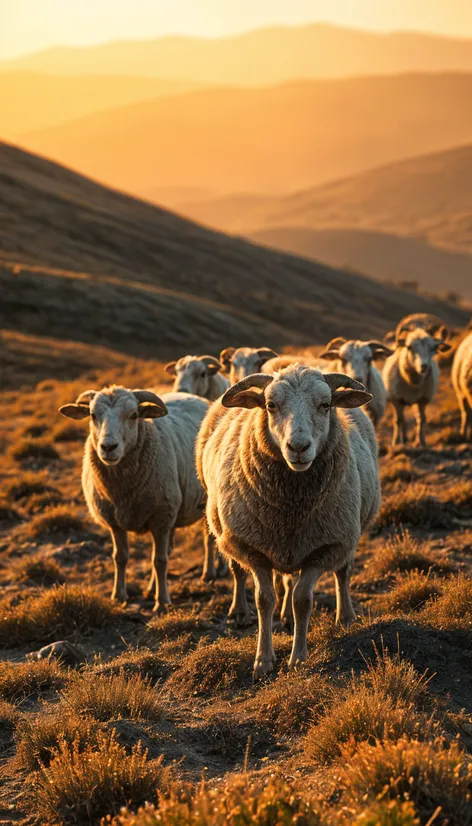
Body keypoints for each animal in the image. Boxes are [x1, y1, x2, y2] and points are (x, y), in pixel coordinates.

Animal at [58, 384, 219, 604]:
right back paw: (151, 588)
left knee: (209, 539)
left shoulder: (161, 518)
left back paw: (211, 572)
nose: (108, 447)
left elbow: (160, 560)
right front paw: (118, 595)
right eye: (92, 415)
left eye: (134, 415)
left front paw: (162, 602)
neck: (122, 491)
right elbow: (121, 557)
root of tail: (197, 398)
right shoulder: (116, 521)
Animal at [195, 364, 380, 672]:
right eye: (270, 405)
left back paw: (344, 616)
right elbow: (264, 599)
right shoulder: (253, 548)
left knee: (342, 572)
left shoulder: (323, 547)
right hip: (233, 531)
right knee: (238, 572)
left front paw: (298, 657)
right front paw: (263, 659)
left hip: (343, 534)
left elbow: (302, 599)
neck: (290, 507)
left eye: (326, 405)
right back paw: (240, 611)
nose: (299, 447)